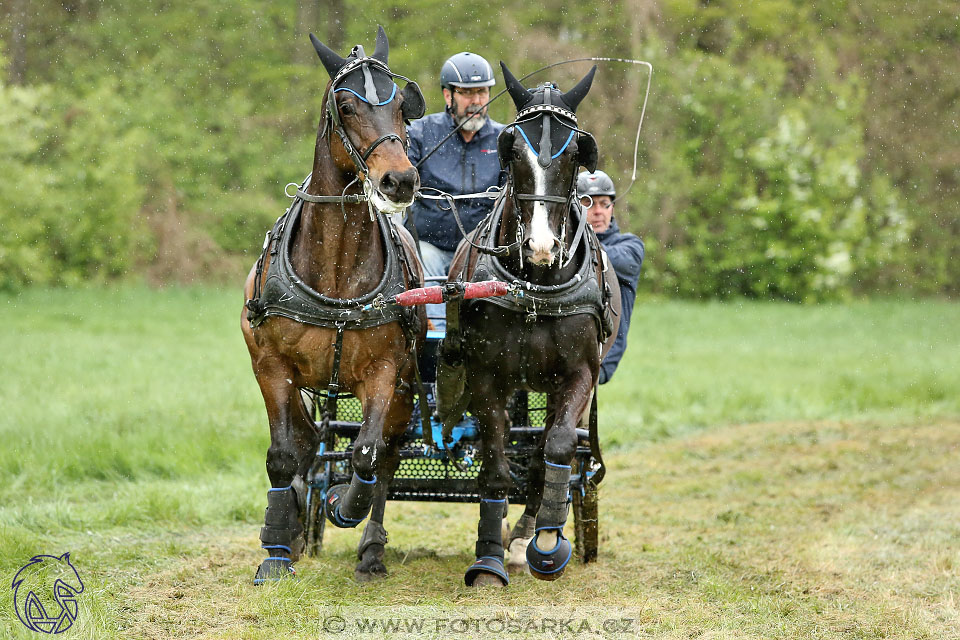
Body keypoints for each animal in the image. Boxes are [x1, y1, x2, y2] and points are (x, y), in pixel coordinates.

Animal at [244, 27, 428, 584]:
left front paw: (344, 506)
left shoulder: (386, 370)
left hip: (407, 388)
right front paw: (276, 550)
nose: (399, 180)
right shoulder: (272, 367)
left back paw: (369, 546)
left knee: (386, 453)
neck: (337, 270)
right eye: (346, 107)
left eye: (402, 108)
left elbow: (366, 454)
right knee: (306, 441)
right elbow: (285, 454)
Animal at [440, 63, 624, 584]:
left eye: (576, 152)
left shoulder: (580, 374)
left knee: (544, 448)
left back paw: (527, 531)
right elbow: (497, 464)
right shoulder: (487, 376)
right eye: (512, 148)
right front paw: (488, 556)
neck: (536, 287)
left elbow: (555, 449)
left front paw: (543, 541)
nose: (540, 245)